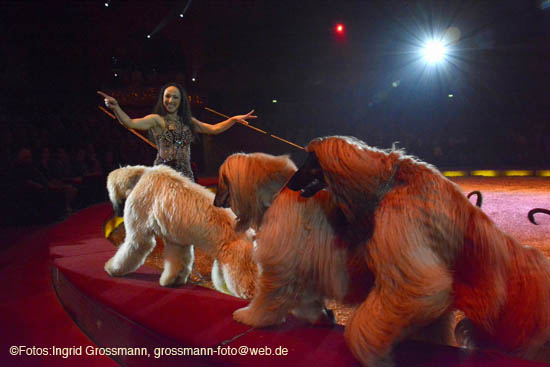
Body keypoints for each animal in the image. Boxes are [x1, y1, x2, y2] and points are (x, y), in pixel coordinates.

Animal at [105, 164, 256, 300]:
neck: (141, 176)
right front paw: (172, 280)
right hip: (225, 265)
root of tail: (251, 236)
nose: (117, 213)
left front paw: (113, 268)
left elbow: (133, 248)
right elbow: (177, 262)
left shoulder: (139, 228)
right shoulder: (176, 241)